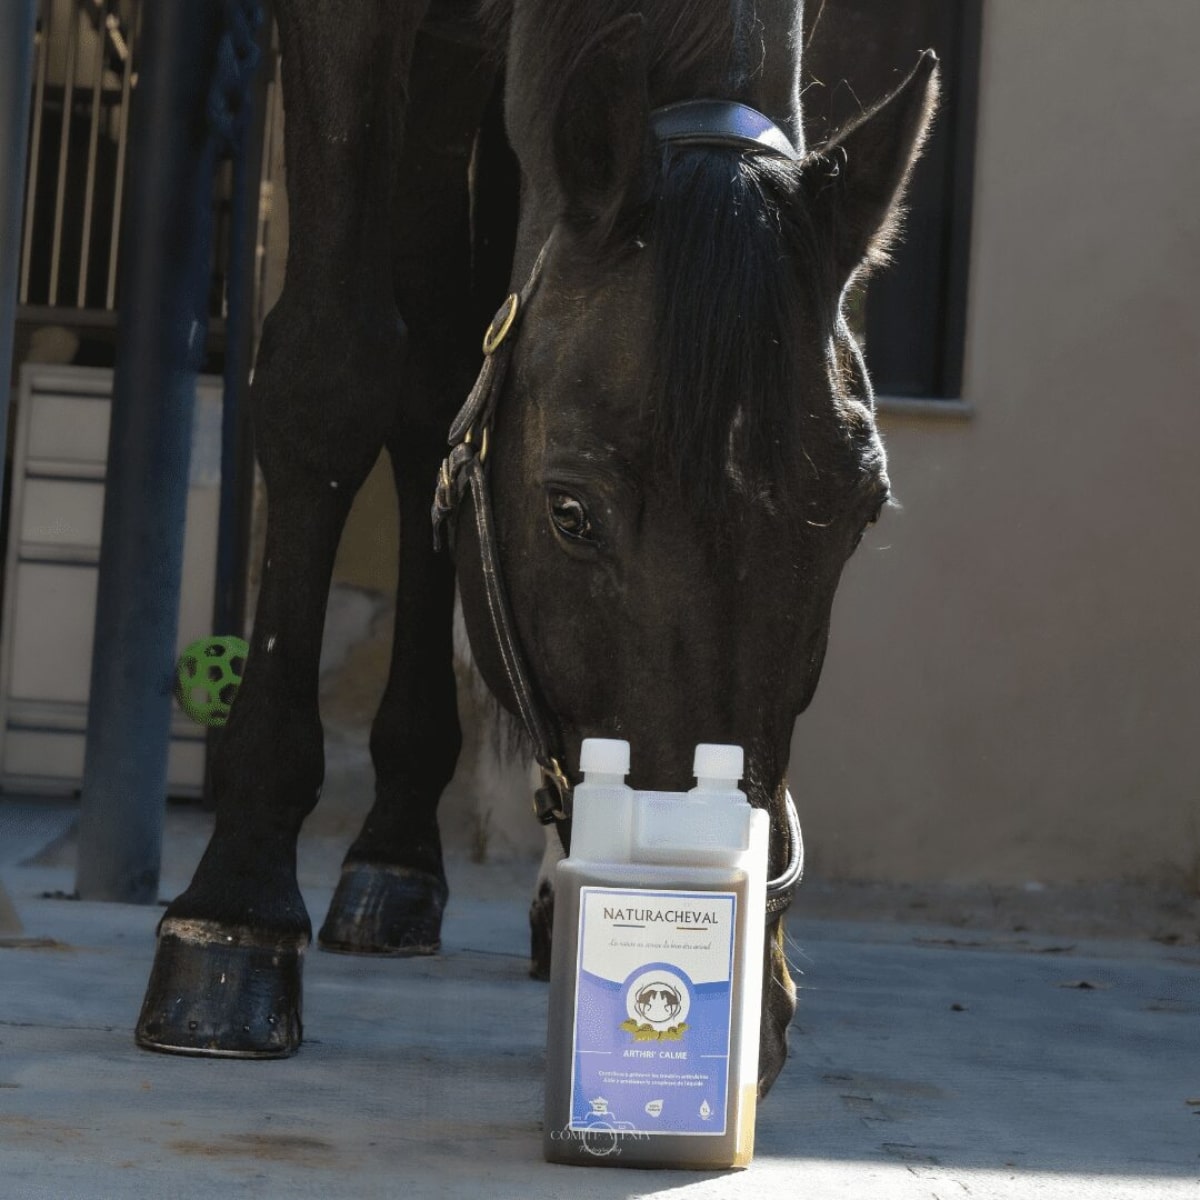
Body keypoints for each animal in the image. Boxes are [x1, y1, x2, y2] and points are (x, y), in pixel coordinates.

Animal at [133, 0, 936, 1099]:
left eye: (861, 513)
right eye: (570, 513)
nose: (745, 1012)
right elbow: (330, 373)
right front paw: (237, 908)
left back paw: (415, 861)